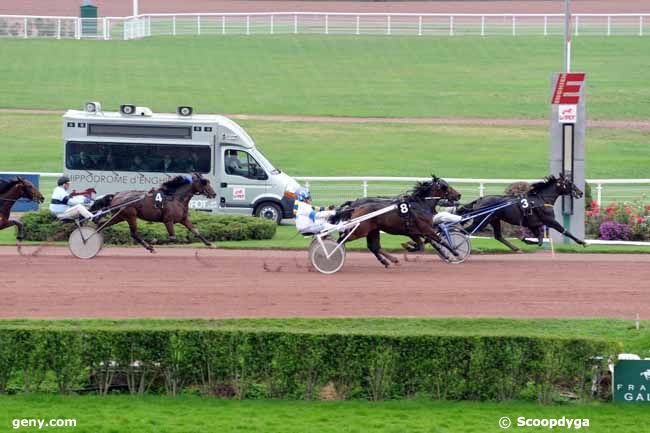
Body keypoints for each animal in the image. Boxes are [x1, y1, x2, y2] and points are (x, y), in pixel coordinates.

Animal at [330, 176, 460, 266]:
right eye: (445, 186)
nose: (459, 195)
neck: (420, 204)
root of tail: (355, 205)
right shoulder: (425, 229)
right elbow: (441, 241)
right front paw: (455, 253)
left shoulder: (414, 232)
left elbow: (424, 244)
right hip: (360, 230)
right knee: (342, 239)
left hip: (372, 230)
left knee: (374, 246)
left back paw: (388, 261)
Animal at [454, 172, 584, 250]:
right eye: (570, 183)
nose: (581, 193)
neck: (541, 199)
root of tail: (479, 200)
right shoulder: (549, 220)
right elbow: (564, 231)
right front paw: (581, 242)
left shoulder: (533, 224)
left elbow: (540, 239)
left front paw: (526, 240)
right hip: (481, 221)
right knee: (464, 232)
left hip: (494, 219)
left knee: (498, 236)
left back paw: (515, 248)